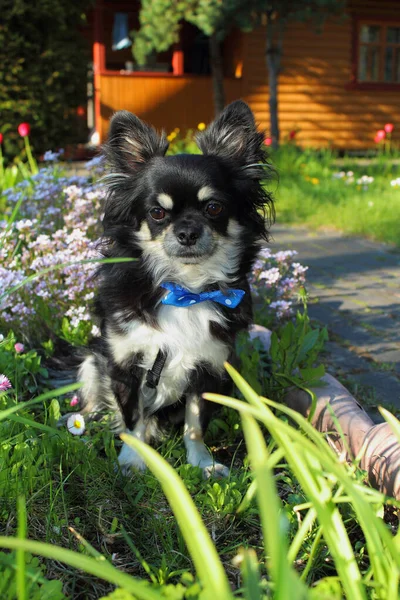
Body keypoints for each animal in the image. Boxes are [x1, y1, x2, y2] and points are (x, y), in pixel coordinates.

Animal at [76, 102, 274, 478]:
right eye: (157, 213)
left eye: (214, 208)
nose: (187, 232)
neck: (185, 288)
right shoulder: (125, 363)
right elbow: (133, 417)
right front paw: (134, 459)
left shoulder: (210, 367)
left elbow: (194, 424)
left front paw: (202, 463)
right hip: (94, 359)